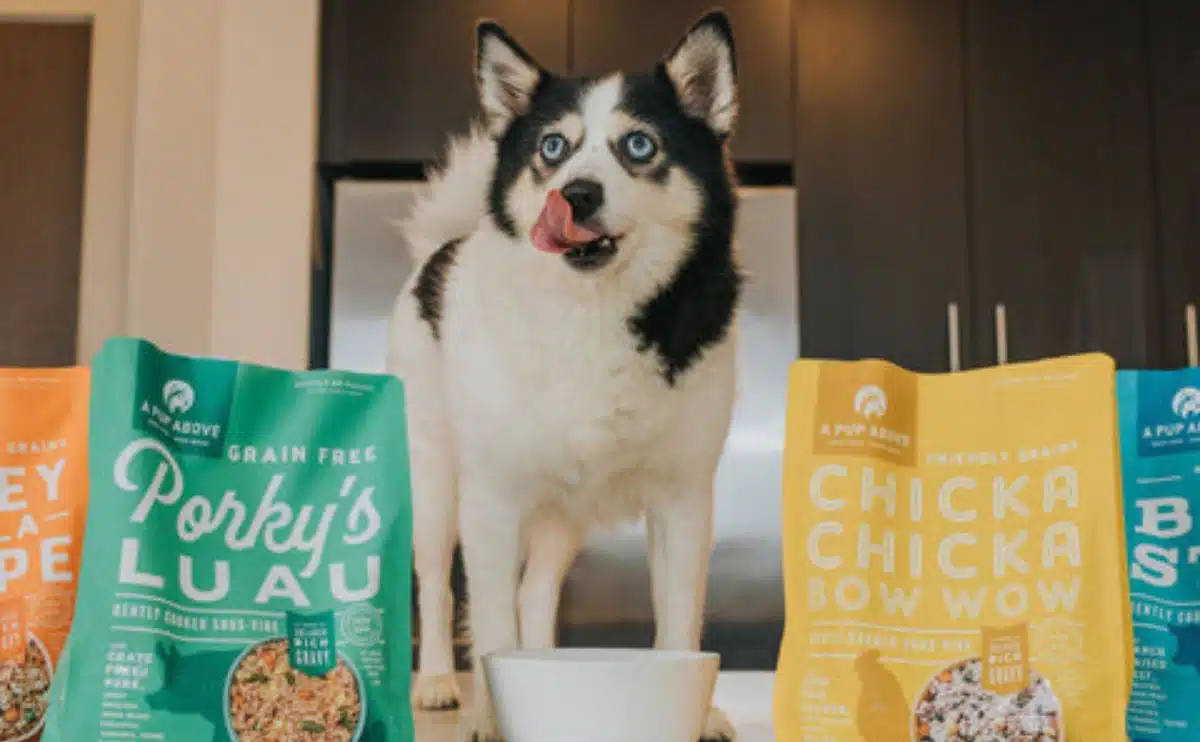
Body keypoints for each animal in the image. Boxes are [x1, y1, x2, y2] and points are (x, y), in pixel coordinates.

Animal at [386, 11, 739, 739]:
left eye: (639, 145)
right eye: (553, 147)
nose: (574, 193)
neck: (594, 309)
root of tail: (441, 249)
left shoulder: (684, 501)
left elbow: (680, 617)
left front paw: (698, 712)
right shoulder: (490, 499)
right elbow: (489, 616)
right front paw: (493, 718)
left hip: (563, 513)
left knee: (536, 589)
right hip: (435, 486)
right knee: (435, 586)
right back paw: (435, 681)